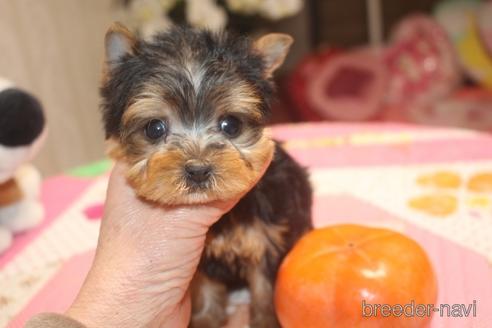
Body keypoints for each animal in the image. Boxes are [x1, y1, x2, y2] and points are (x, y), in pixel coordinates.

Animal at [101, 22, 312, 326]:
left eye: (231, 124)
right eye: (154, 128)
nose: (198, 170)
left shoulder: (266, 241)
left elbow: (264, 290)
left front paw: (265, 319)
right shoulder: (198, 262)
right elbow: (204, 288)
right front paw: (205, 318)